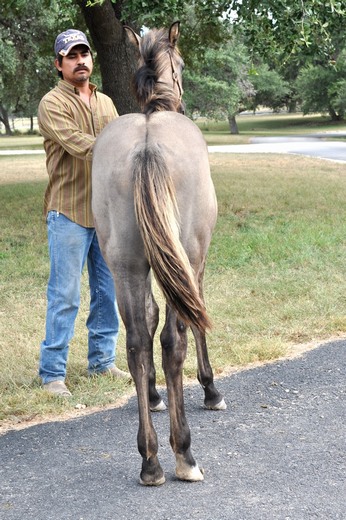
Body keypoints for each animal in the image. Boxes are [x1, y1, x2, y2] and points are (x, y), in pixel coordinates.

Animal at [92, 19, 226, 484]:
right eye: (182, 65)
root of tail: (147, 145)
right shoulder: (195, 264)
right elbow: (192, 326)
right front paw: (210, 388)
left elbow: (145, 326)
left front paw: (152, 395)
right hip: (181, 256)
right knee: (172, 341)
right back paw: (183, 453)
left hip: (126, 265)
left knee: (136, 341)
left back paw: (149, 459)